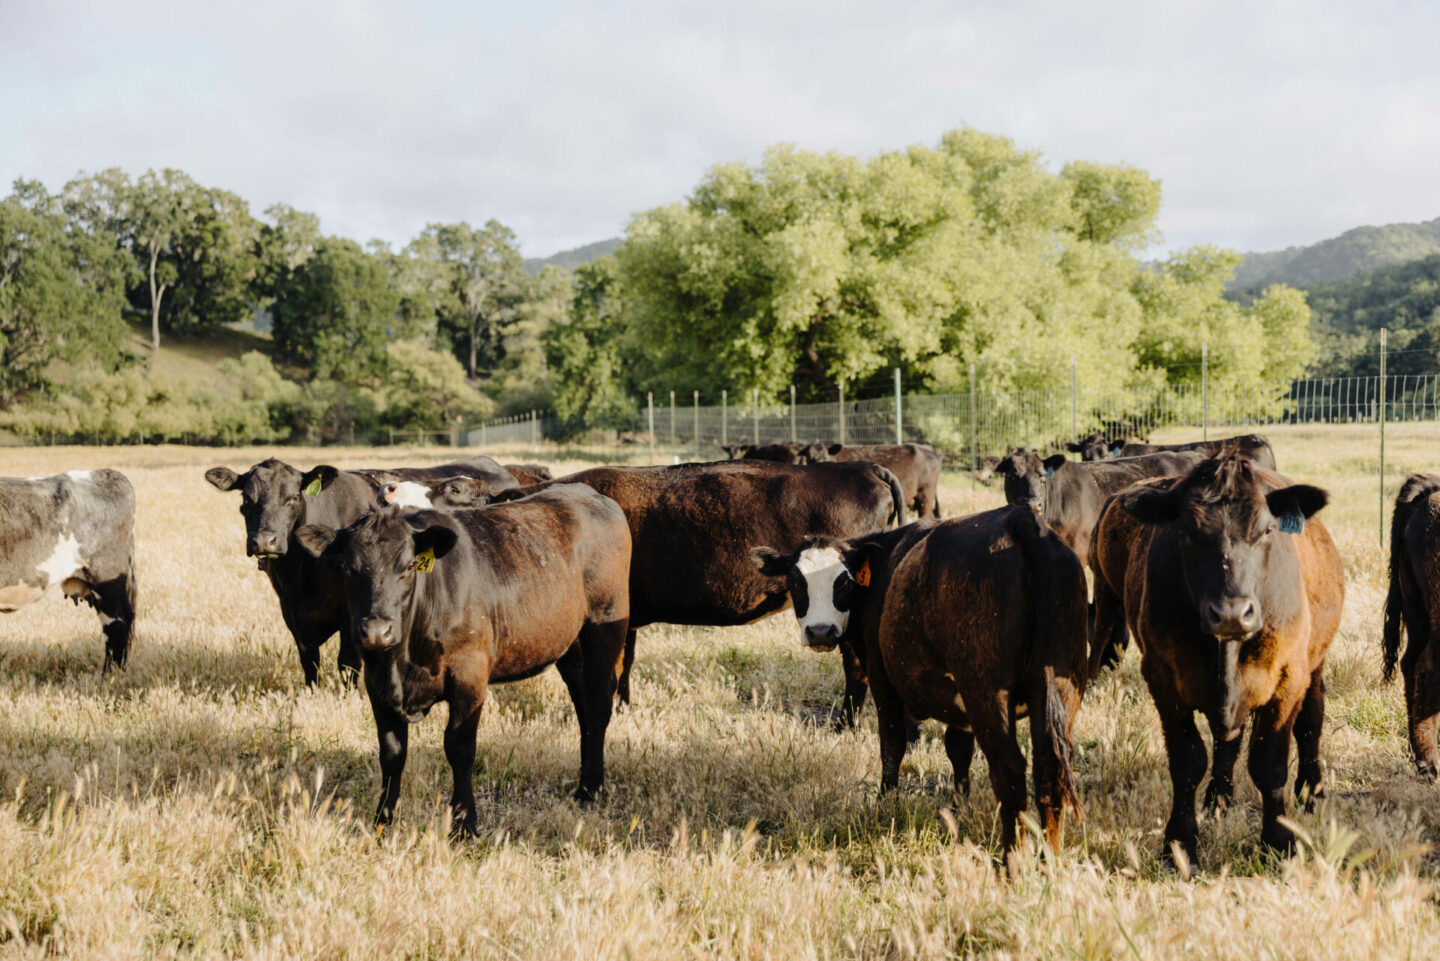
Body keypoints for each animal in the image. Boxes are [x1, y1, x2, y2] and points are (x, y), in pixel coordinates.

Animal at [295, 489, 627, 835]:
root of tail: (587, 493)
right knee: (583, 705)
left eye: (409, 566)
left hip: (605, 626)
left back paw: (590, 789)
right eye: (347, 567)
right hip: (569, 644)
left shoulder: (470, 675)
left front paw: (465, 823)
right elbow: (391, 752)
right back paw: (584, 781)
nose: (376, 630)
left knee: (598, 703)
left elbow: (460, 747)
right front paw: (382, 823)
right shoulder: (376, 682)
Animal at [748, 507, 1082, 858]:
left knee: (1010, 772)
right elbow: (959, 750)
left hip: (987, 694)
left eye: (845, 581)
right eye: (795, 581)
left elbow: (892, 745)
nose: (821, 631)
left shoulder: (882, 681)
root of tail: (1018, 518)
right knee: (1049, 771)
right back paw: (1049, 860)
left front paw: (885, 805)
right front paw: (958, 808)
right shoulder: (960, 707)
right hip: (1058, 691)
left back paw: (1012, 861)